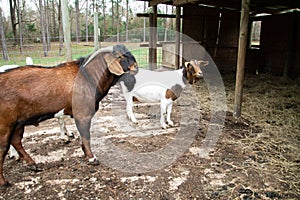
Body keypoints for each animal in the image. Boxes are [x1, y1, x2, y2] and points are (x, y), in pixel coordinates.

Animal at [0, 44, 138, 188]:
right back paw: (4, 182)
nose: (136, 67)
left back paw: (33, 164)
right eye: (121, 56)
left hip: (18, 122)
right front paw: (92, 157)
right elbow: (86, 136)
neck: (89, 76)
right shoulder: (82, 114)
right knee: (3, 148)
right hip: (5, 123)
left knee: (16, 141)